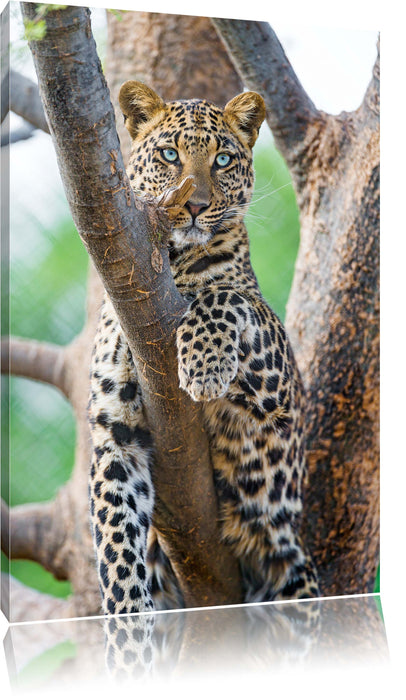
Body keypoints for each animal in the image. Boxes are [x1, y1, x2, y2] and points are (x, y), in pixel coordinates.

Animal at [87, 79, 318, 644]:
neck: (168, 265)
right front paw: (126, 643)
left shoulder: (278, 386)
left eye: (224, 159)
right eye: (170, 155)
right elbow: (117, 552)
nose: (193, 206)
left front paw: (204, 365)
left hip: (293, 571)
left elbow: (225, 296)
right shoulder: (114, 436)